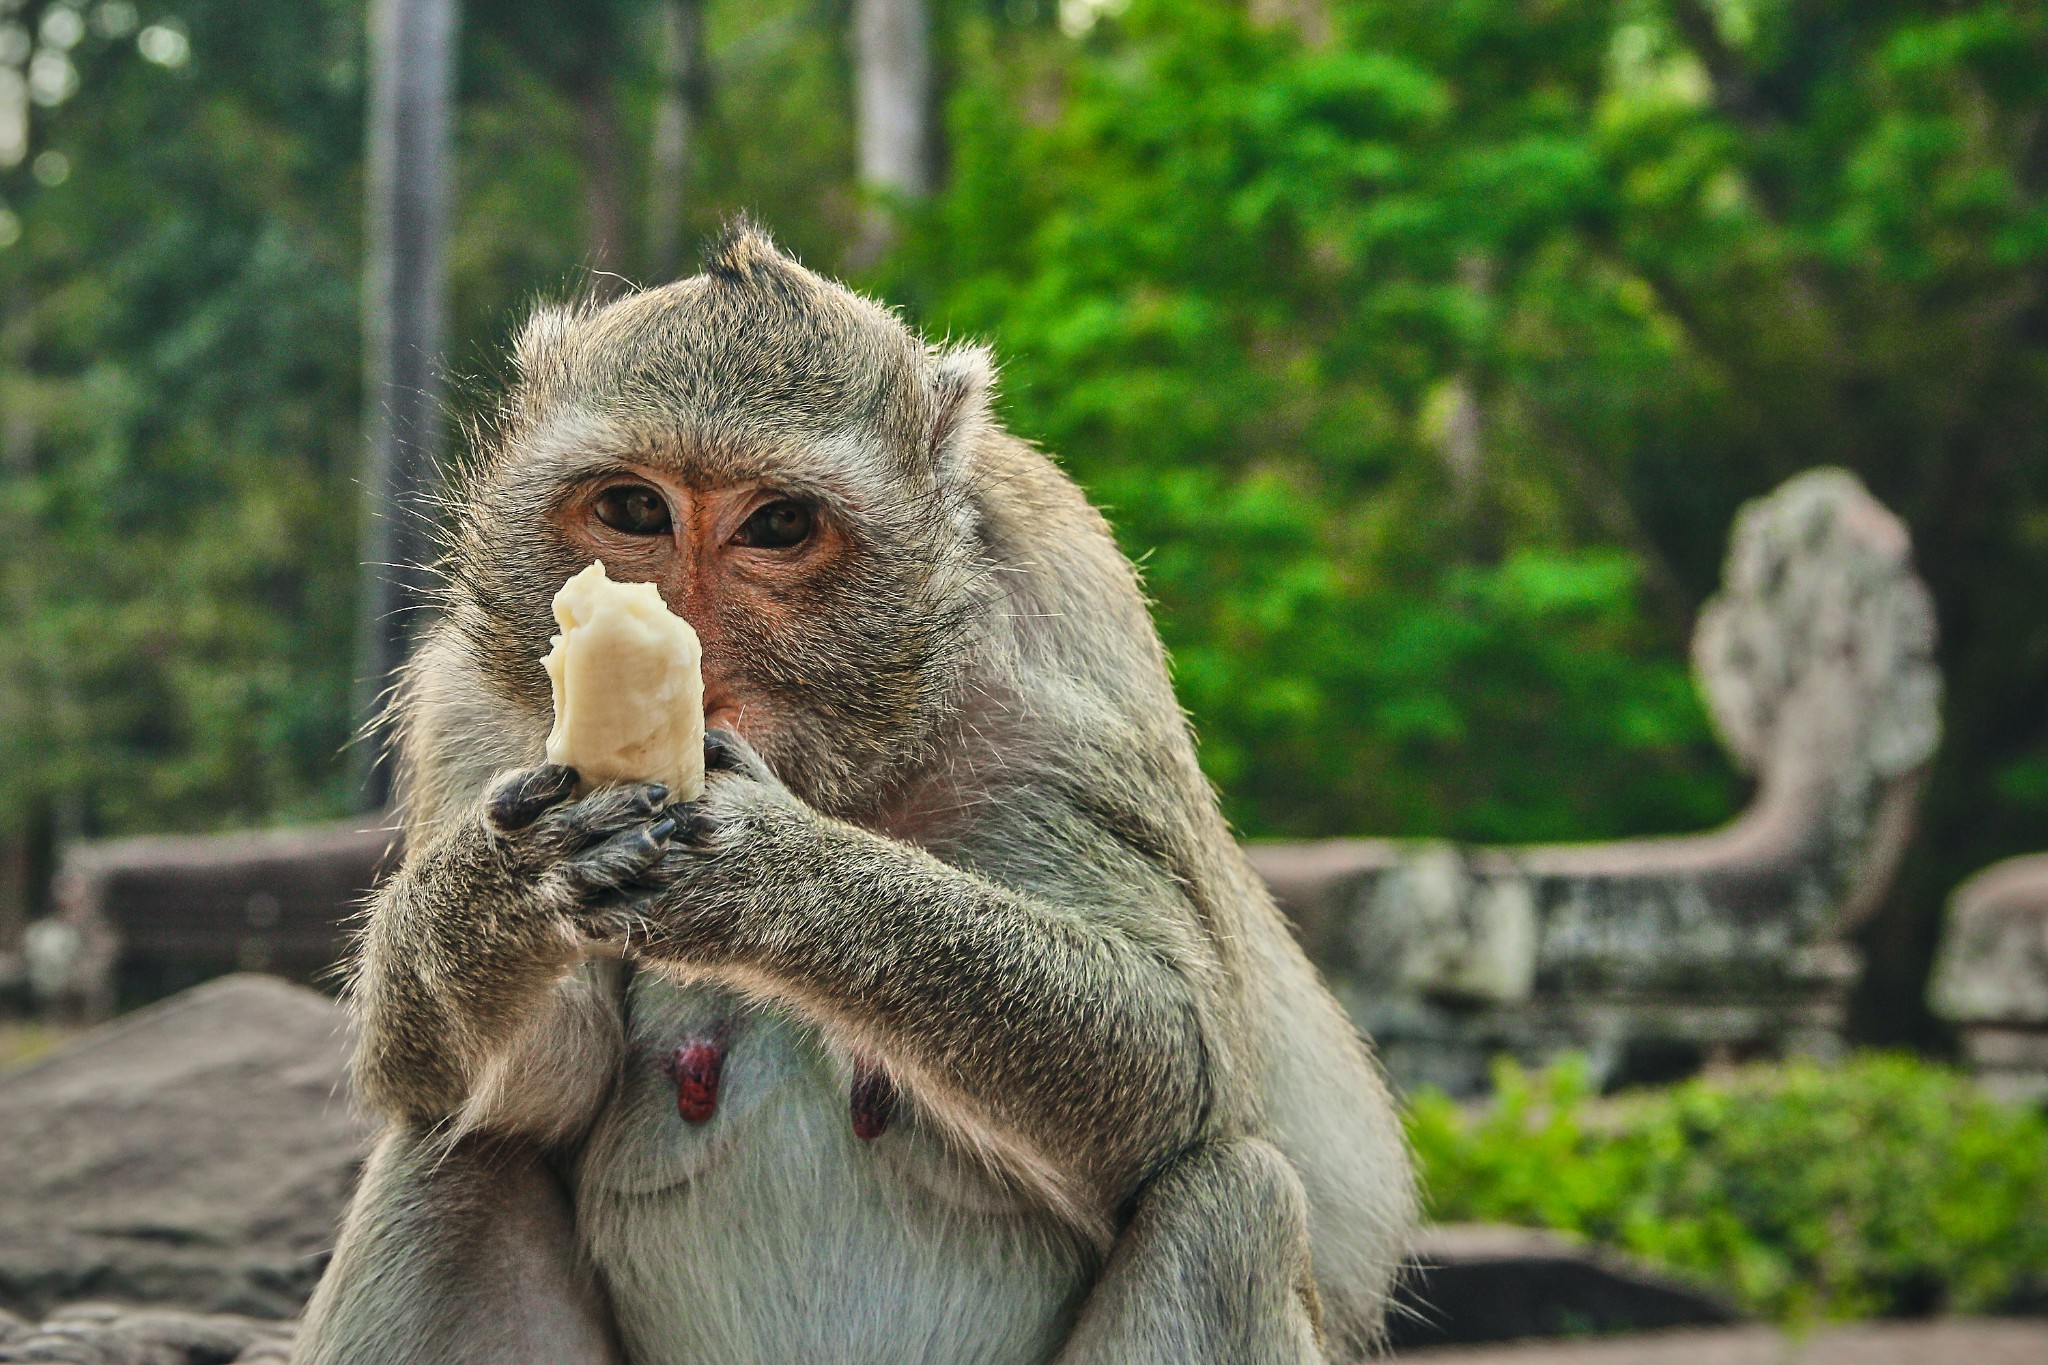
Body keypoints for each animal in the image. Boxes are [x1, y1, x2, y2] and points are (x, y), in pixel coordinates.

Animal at [299, 224, 1409, 1365]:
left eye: (779, 524)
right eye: (635, 509)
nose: (697, 649)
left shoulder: (1066, 686)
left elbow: (1178, 1057)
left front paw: (777, 876)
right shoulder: (471, 700)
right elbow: (520, 1089)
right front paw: (508, 883)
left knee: (1232, 1198)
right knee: (451, 1159)